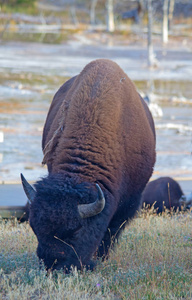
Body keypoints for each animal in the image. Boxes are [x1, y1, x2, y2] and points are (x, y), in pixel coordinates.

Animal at [21, 58, 156, 272]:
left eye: (75, 231)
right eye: (35, 229)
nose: (53, 264)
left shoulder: (130, 201)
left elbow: (111, 231)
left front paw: (99, 259)